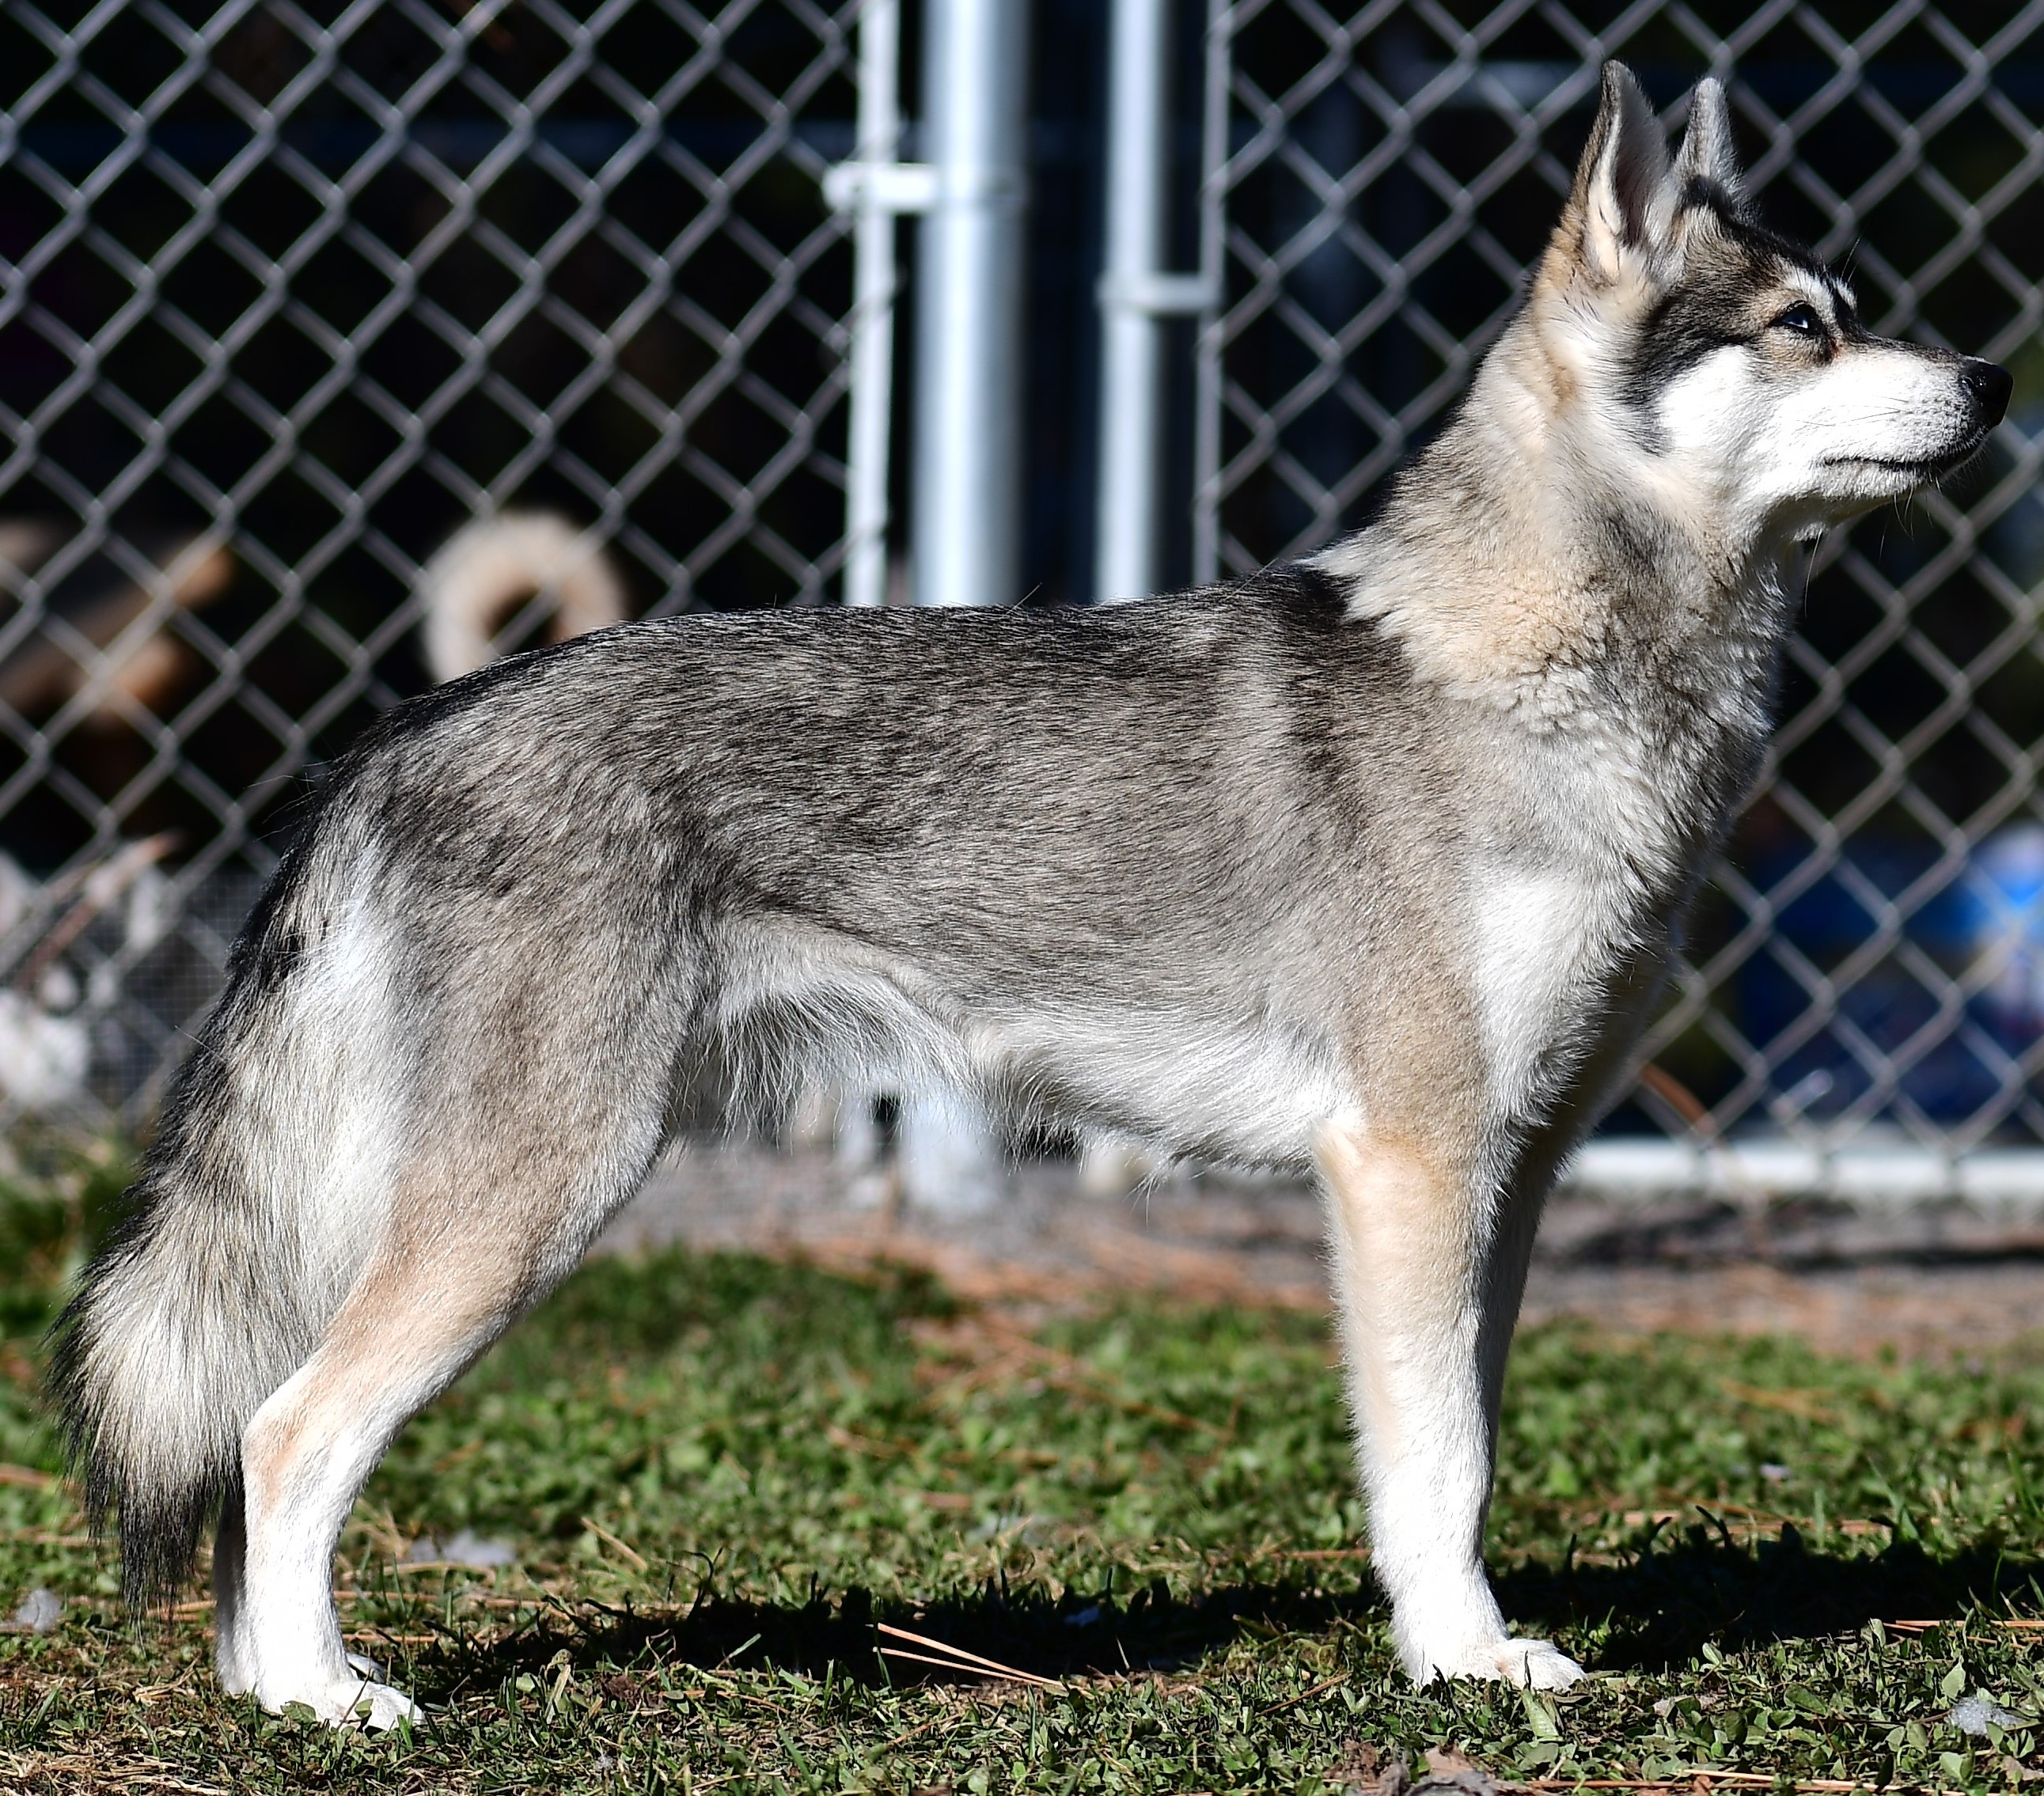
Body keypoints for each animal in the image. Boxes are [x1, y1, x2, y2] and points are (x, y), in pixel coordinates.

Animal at [52, 64, 2010, 1726]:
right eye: (1806, 326)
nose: (1994, 381)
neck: (1533, 676)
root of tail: (406, 729)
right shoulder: (1405, 1168)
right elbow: (1437, 1463)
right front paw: (1463, 1668)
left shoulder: (1507, 1182)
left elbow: (1460, 1455)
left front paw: (1451, 1639)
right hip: (527, 1203)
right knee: (283, 1435)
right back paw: (329, 1702)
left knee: (243, 1467)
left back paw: (268, 1693)